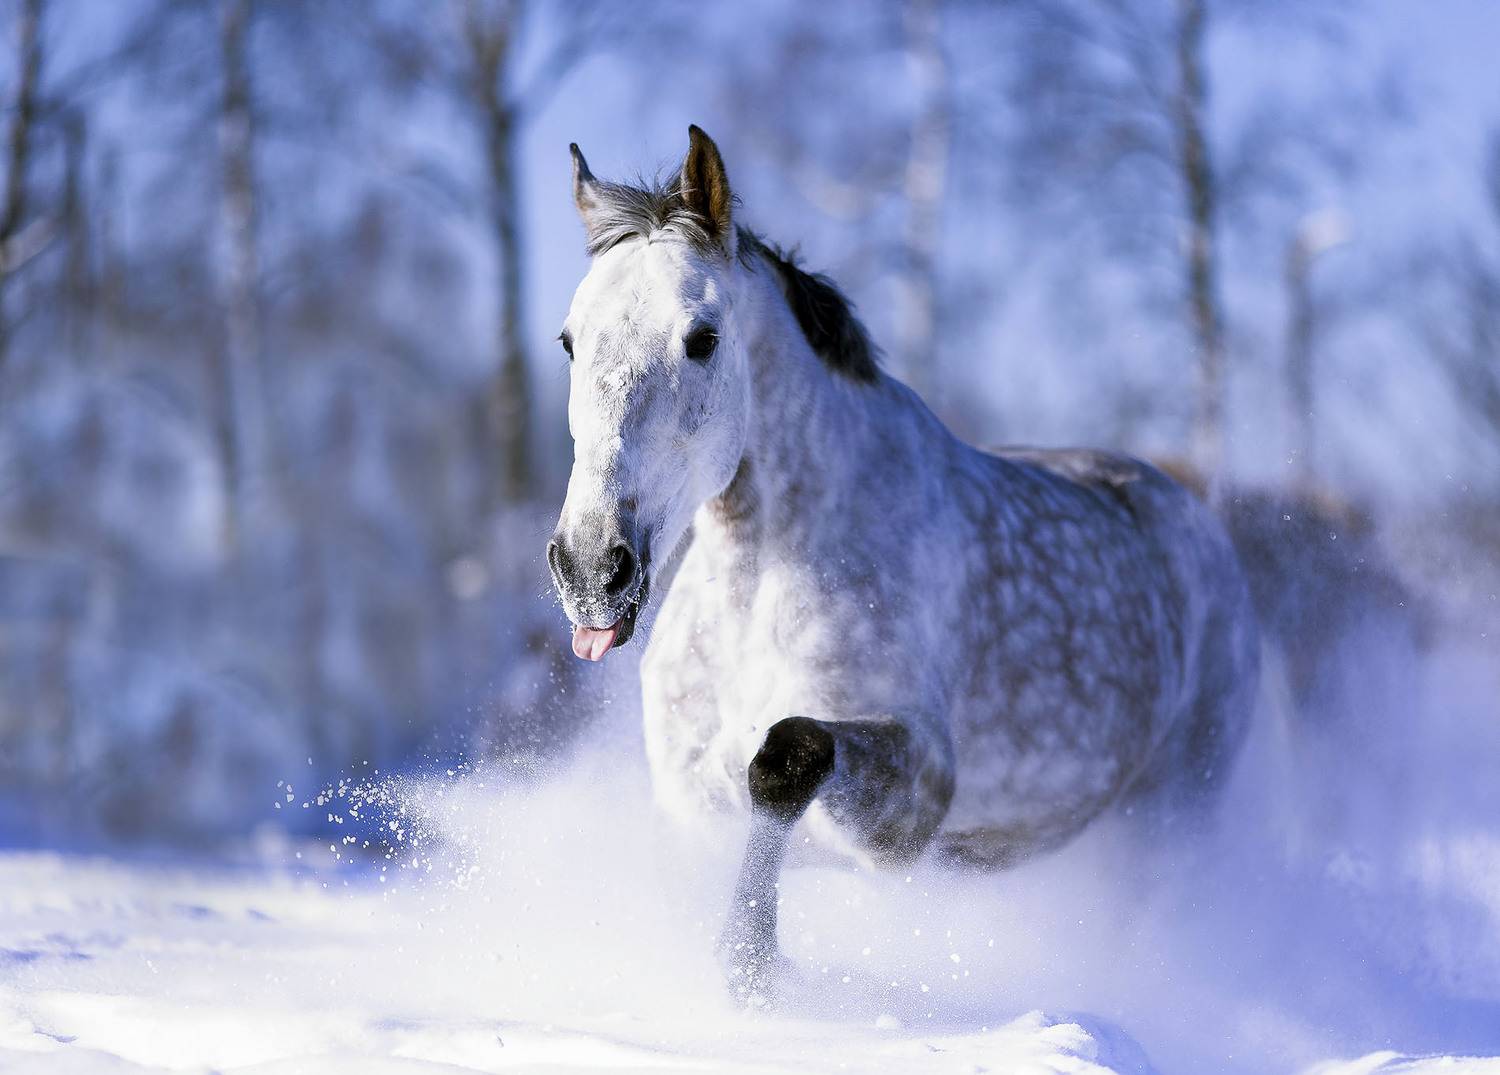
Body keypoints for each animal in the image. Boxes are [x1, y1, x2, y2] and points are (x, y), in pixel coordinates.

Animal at [546, 126, 1260, 1002]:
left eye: (702, 339)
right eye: (571, 340)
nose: (590, 568)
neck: (761, 579)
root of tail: (1200, 527)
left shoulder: (916, 796)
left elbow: (783, 759)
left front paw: (751, 962)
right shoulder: (691, 806)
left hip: (1171, 820)